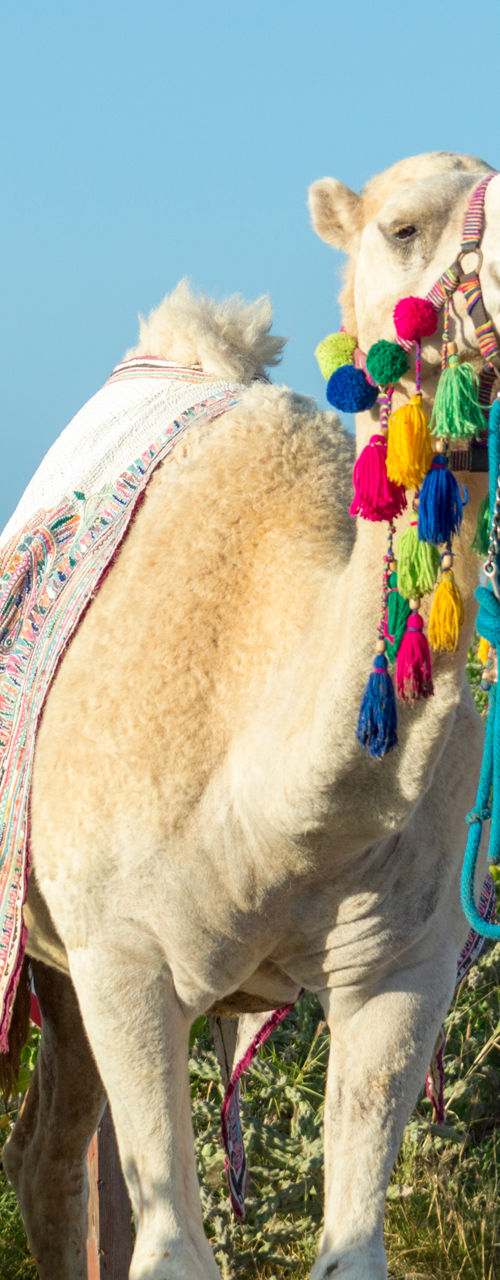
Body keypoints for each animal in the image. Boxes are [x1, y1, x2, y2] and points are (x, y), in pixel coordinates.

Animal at [1, 151, 499, 1280]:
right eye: (404, 227)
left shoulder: (399, 968)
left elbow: (352, 1251)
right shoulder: (124, 956)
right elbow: (172, 1253)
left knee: (52, 1154)